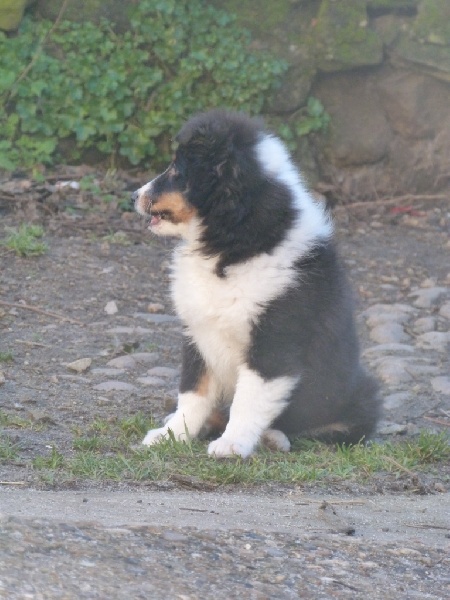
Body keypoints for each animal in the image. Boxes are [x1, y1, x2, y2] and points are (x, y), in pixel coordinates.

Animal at [133, 108, 380, 458]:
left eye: (177, 171)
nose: (134, 196)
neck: (233, 245)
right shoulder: (198, 334)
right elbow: (193, 392)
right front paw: (172, 435)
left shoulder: (274, 343)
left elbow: (248, 400)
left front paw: (232, 445)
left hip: (358, 395)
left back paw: (272, 437)